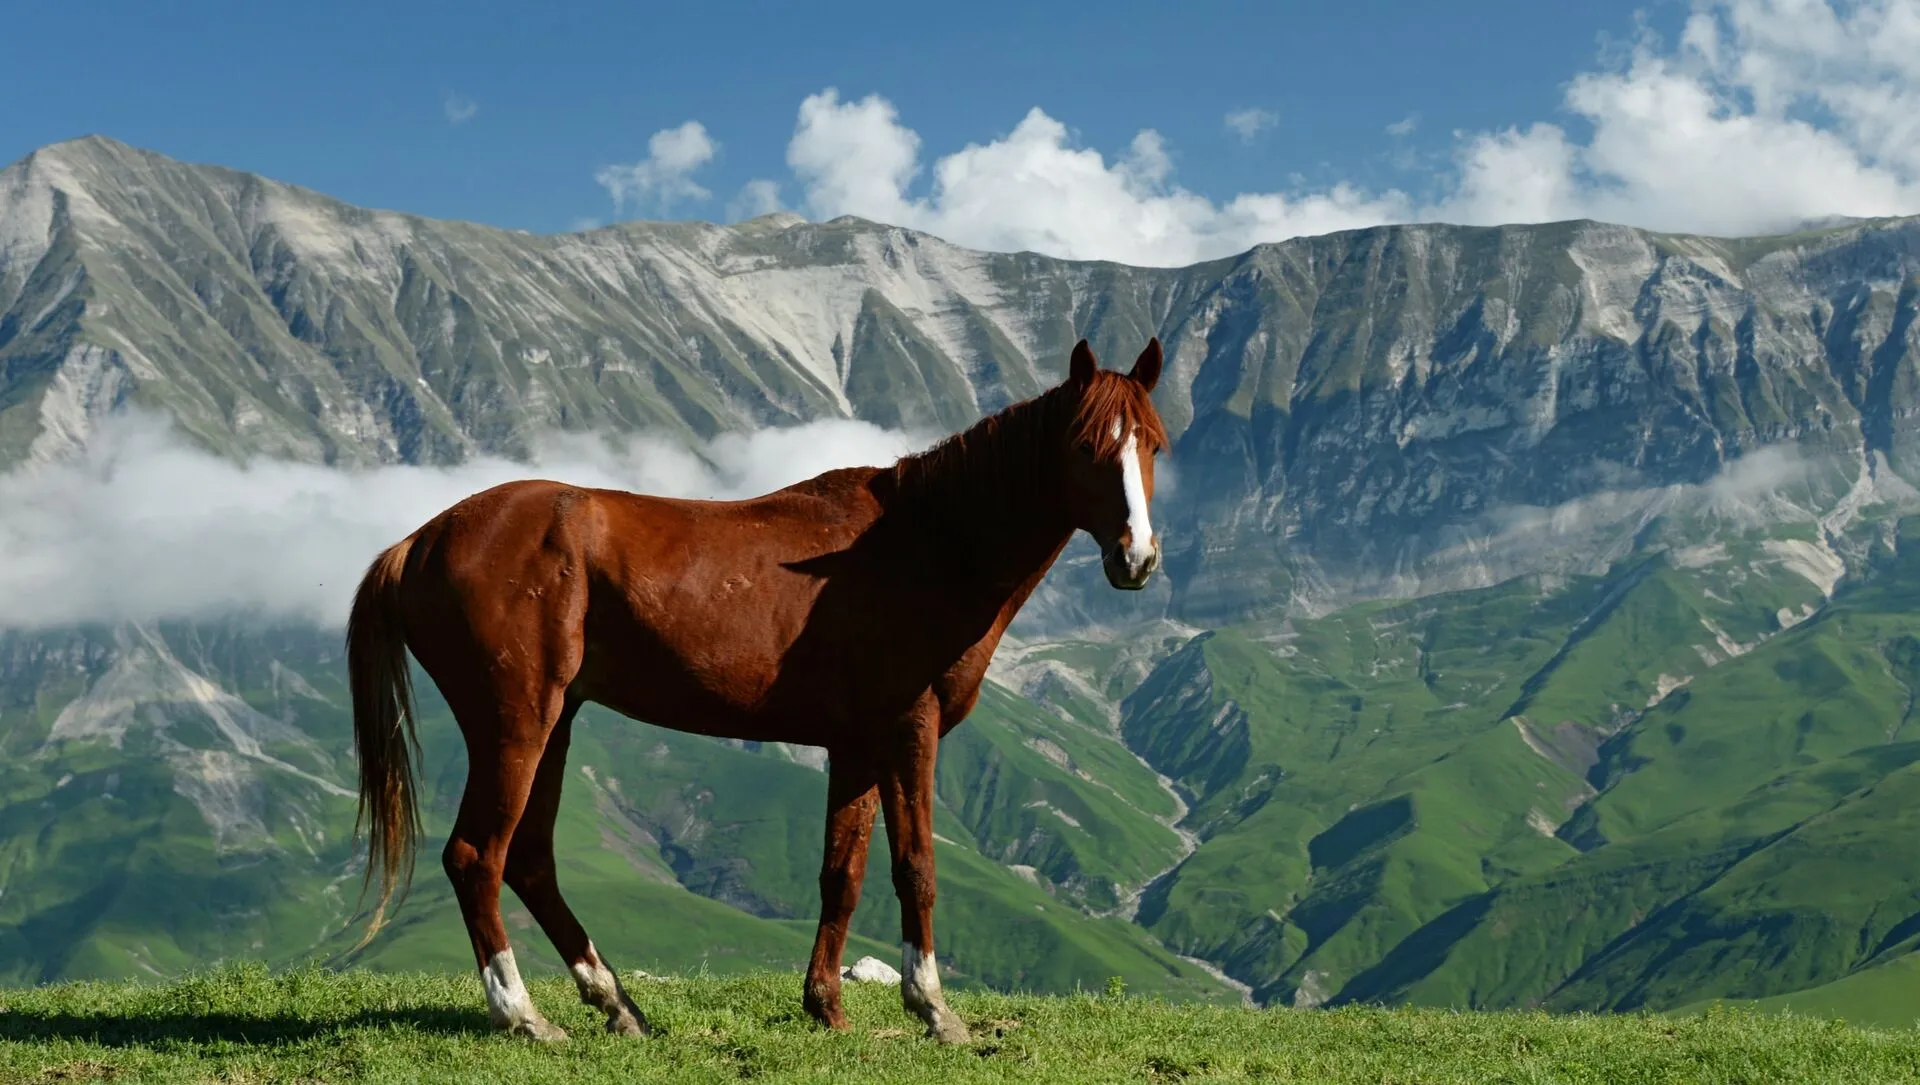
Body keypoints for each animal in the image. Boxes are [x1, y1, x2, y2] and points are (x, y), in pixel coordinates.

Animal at [345, 336, 1167, 1036]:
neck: (923, 543)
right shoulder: (911, 728)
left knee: (529, 861)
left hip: (555, 723)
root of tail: (419, 540)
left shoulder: (856, 746)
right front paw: (934, 1010)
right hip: (514, 724)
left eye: (1153, 445)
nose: (1137, 559)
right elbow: (916, 869)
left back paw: (617, 1004)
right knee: (476, 856)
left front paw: (826, 1005)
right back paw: (524, 1014)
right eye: (1087, 445)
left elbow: (844, 873)